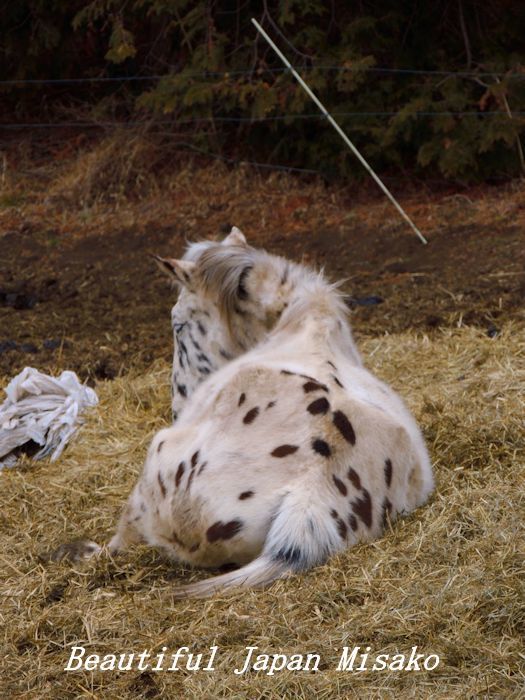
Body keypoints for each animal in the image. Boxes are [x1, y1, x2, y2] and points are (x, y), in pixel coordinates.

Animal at [53, 232, 432, 600]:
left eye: (179, 325)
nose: (180, 401)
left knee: (121, 540)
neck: (305, 324)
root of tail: (312, 493)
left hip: (157, 458)